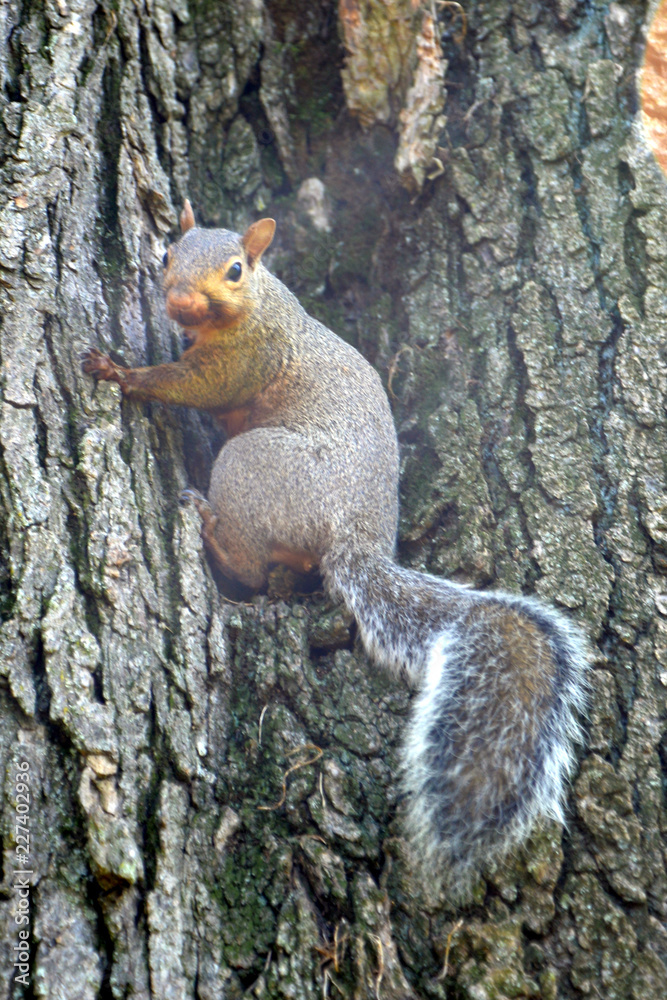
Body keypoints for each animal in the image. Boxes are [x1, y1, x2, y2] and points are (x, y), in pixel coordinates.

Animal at [82, 201, 589, 887]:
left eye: (235, 269)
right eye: (167, 254)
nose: (180, 302)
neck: (259, 306)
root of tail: (354, 534)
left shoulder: (249, 359)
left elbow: (192, 387)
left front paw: (120, 373)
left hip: (255, 467)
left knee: (247, 562)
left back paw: (209, 528)